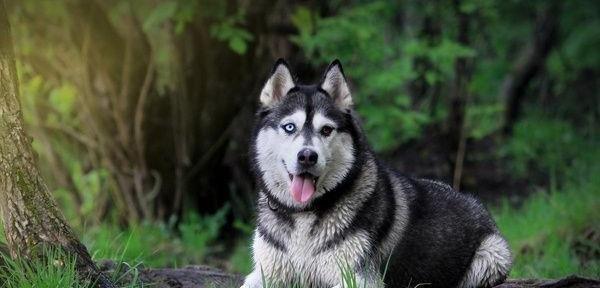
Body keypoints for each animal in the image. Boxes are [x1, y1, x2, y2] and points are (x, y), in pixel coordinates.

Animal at [241, 59, 512, 288]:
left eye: (326, 129)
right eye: (289, 127)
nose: (307, 156)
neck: (303, 214)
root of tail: (474, 201)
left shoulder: (358, 277)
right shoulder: (265, 273)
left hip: (492, 256)